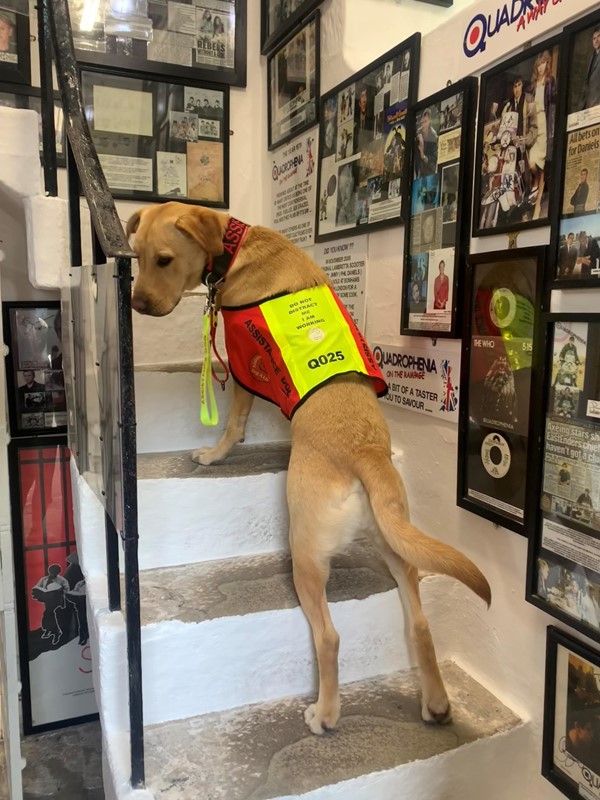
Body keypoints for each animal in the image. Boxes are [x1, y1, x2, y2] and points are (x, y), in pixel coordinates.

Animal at [129, 202, 490, 736]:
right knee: (420, 623)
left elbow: (233, 424)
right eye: (135, 257)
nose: (135, 305)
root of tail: (364, 452)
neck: (235, 244)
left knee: (329, 636)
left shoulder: (243, 368)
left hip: (305, 554)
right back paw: (437, 703)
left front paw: (214, 455)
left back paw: (325, 714)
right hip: (397, 543)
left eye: (164, 260)